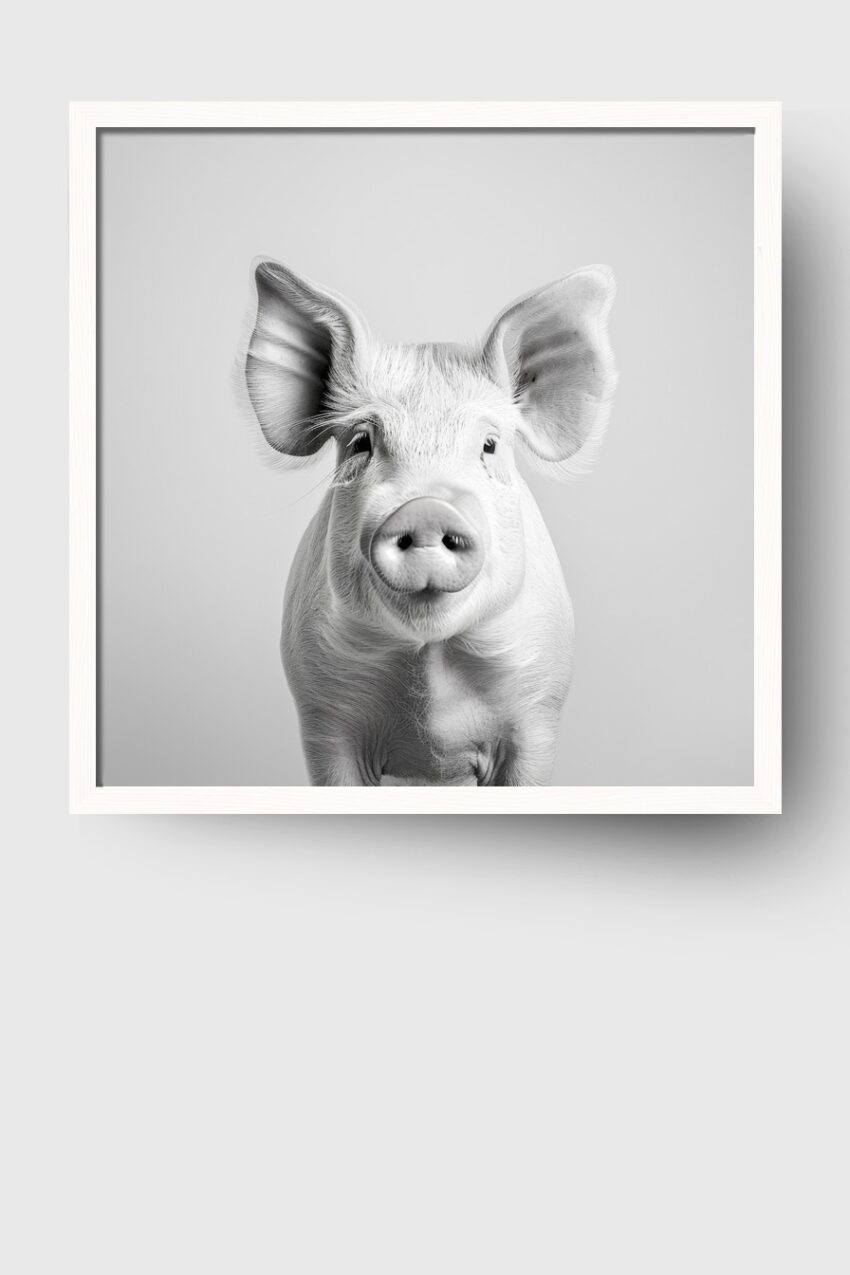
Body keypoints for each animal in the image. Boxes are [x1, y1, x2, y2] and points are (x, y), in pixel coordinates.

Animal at [245, 260, 617, 785]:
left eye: (489, 446)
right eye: (361, 443)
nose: (425, 508)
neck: (431, 661)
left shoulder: (539, 711)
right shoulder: (321, 716)